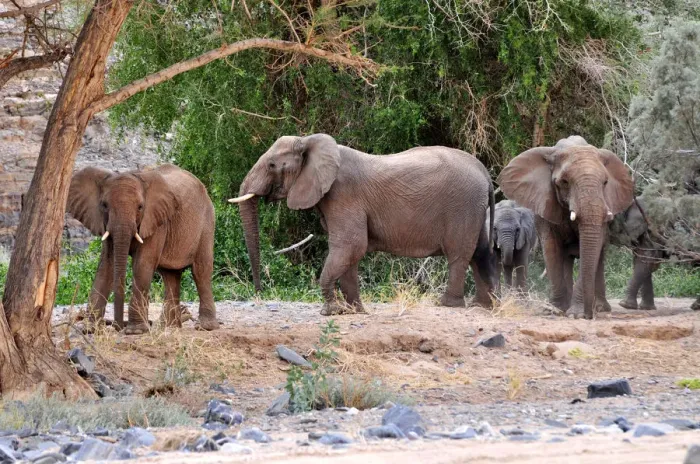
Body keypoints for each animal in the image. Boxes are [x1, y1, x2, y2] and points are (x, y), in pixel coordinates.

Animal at [67, 164, 218, 334]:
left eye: (140, 207)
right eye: (104, 205)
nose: (117, 326)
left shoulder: (155, 221)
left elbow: (142, 264)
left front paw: (135, 331)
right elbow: (106, 266)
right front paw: (89, 329)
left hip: (207, 222)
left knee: (200, 271)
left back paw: (204, 327)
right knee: (170, 276)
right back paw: (168, 328)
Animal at [229, 133, 497, 315]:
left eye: (272, 165)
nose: (259, 293)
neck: (309, 141)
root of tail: (484, 172)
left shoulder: (343, 194)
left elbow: (350, 245)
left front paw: (331, 312)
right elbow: (351, 252)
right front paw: (354, 311)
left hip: (462, 205)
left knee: (459, 255)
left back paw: (449, 305)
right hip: (474, 208)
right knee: (480, 252)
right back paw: (483, 306)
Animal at [498, 136, 634, 319]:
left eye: (605, 182)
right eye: (564, 182)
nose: (588, 316)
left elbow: (592, 248)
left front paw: (575, 314)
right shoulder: (544, 203)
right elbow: (551, 248)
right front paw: (554, 309)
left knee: (599, 257)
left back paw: (600, 308)